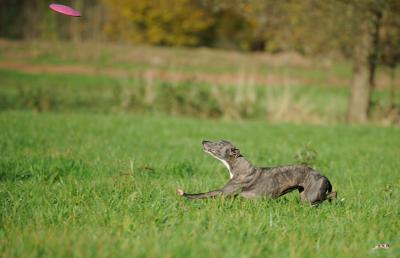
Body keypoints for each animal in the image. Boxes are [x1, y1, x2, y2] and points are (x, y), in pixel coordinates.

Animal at [177, 140, 336, 205]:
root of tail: (325, 178)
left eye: (220, 143)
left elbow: (206, 194)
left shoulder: (225, 193)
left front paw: (185, 196)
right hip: (304, 195)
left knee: (330, 195)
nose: (204, 141)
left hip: (311, 196)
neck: (238, 165)